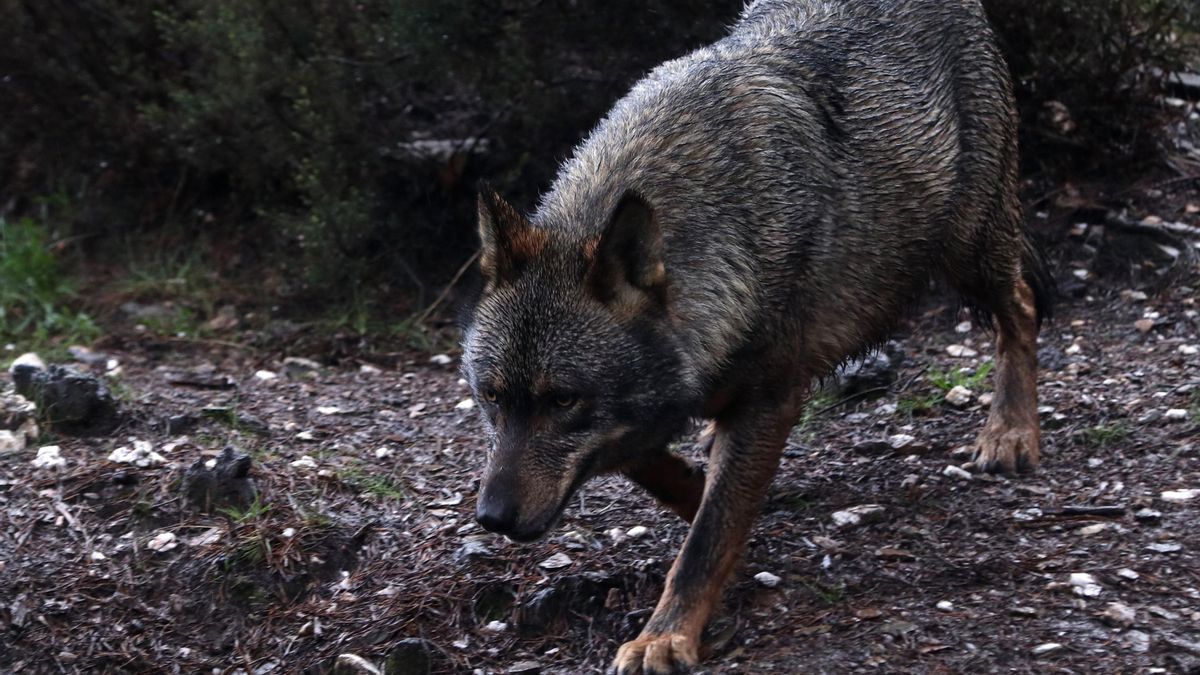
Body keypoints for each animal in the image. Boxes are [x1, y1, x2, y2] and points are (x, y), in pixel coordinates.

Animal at [460, 0, 1051, 672]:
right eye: (491, 397)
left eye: (562, 400)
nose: (492, 518)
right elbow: (660, 468)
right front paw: (705, 492)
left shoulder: (770, 399)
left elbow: (706, 538)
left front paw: (665, 637)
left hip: (969, 247)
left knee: (1022, 309)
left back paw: (1010, 433)